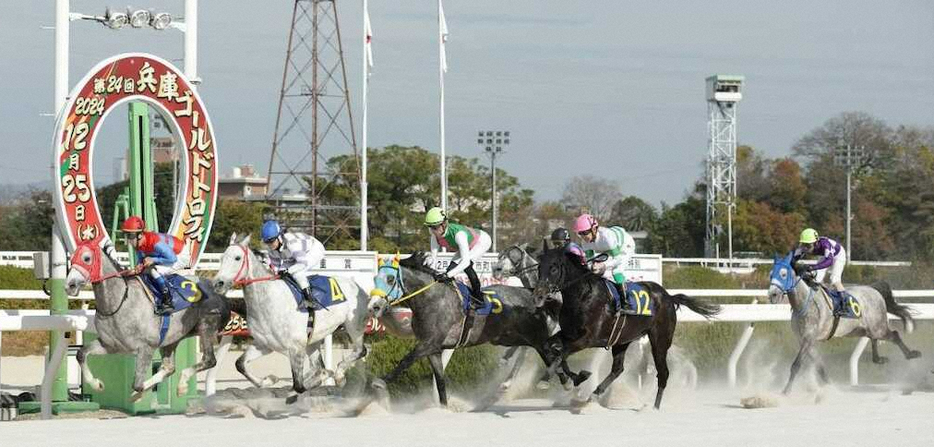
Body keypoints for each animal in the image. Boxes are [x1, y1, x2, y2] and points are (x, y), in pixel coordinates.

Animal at [66, 242, 230, 402]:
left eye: (86, 258)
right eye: (71, 259)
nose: (70, 285)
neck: (119, 303)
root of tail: (217, 291)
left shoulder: (146, 348)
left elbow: (138, 384)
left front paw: (138, 395)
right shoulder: (110, 345)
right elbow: (80, 354)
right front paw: (97, 384)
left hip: (206, 326)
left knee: (209, 360)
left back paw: (182, 385)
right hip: (172, 339)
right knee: (169, 368)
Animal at [370, 254, 568, 408]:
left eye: (390, 279)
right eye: (374, 279)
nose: (374, 306)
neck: (431, 299)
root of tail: (531, 293)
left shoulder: (429, 343)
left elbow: (406, 360)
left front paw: (379, 382)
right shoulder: (433, 349)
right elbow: (440, 382)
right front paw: (443, 408)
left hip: (532, 336)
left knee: (549, 353)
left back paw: (565, 383)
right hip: (509, 338)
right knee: (544, 352)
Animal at [532, 245, 724, 410]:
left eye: (554, 268)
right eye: (539, 268)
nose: (538, 296)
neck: (583, 296)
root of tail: (669, 297)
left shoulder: (587, 338)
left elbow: (562, 353)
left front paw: (548, 379)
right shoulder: (569, 334)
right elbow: (552, 349)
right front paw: (574, 379)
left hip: (660, 340)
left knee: (663, 373)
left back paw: (654, 408)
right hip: (622, 340)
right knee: (618, 369)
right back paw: (595, 394)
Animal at [768, 252, 920, 396]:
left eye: (783, 274)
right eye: (771, 275)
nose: (772, 295)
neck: (804, 303)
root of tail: (874, 289)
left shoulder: (809, 338)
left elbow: (796, 365)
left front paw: (786, 391)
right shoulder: (803, 340)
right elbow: (819, 366)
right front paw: (830, 386)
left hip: (878, 327)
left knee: (894, 335)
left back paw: (912, 354)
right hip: (860, 330)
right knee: (873, 338)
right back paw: (879, 359)